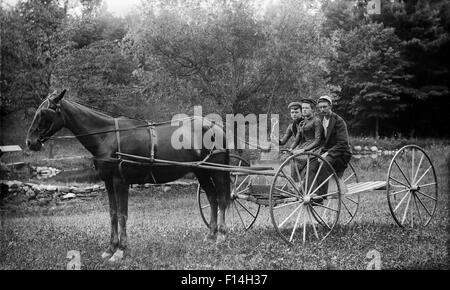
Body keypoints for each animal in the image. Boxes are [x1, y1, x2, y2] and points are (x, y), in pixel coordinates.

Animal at [27, 89, 232, 262]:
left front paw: (120, 250)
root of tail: (215, 126)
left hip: (216, 170)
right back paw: (211, 235)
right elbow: (113, 214)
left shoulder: (120, 182)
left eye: (44, 113)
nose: (30, 142)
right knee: (212, 199)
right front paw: (110, 248)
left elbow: (122, 214)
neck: (107, 137)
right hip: (201, 171)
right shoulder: (109, 183)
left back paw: (221, 235)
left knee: (222, 199)